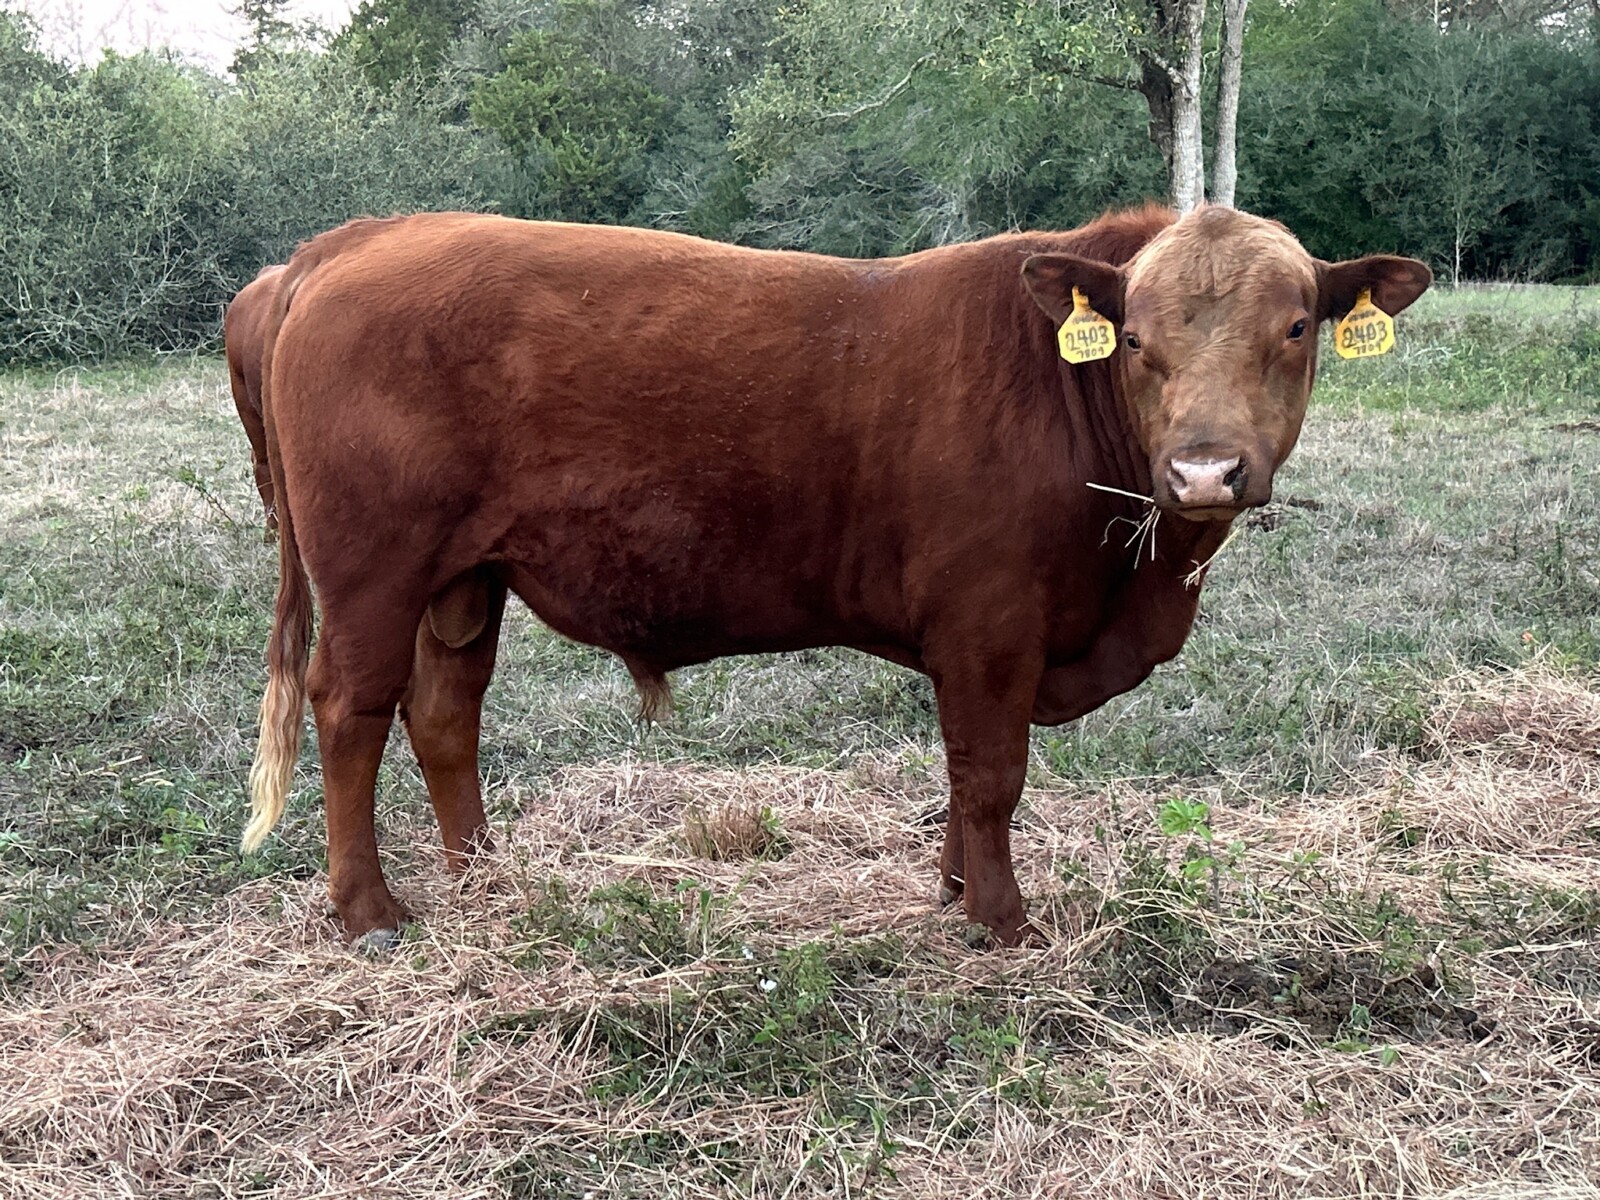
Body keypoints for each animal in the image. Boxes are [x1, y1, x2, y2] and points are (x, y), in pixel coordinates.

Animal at [240, 206, 1431, 947]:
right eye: (1133, 337)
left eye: (1296, 326)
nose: (1203, 469)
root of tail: (350, 242)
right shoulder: (988, 621)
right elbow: (991, 774)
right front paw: (999, 920)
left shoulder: (981, 641)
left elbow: (965, 775)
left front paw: (953, 889)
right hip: (375, 572)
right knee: (350, 709)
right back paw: (370, 910)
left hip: (465, 577)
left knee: (445, 714)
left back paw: (483, 875)